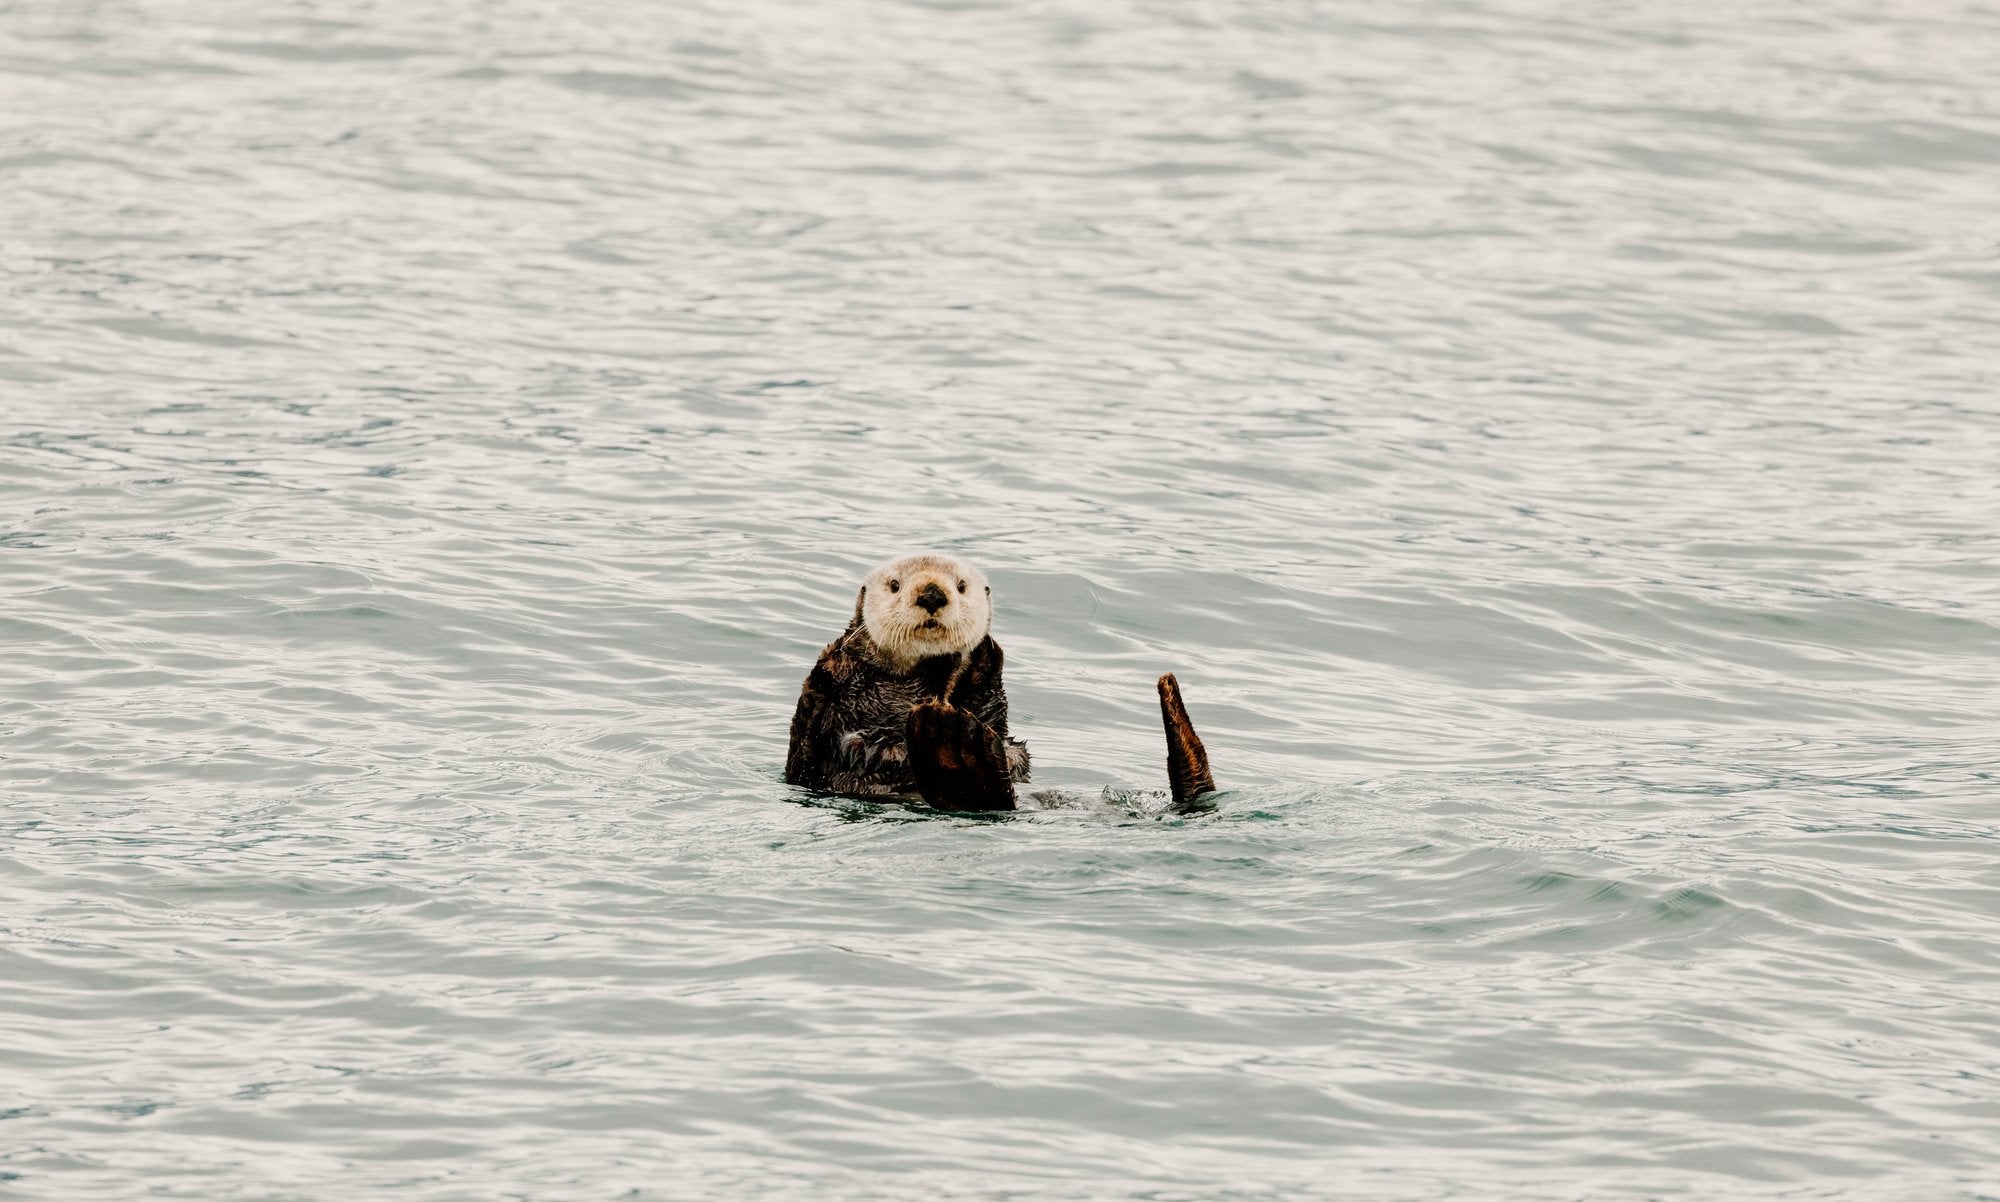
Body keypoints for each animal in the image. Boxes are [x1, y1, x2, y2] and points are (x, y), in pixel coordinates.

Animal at [784, 553, 1216, 813]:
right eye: (894, 585)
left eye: (960, 586)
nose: (932, 593)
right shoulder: (839, 695)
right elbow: (845, 740)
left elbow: (1007, 738)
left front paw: (982, 656)